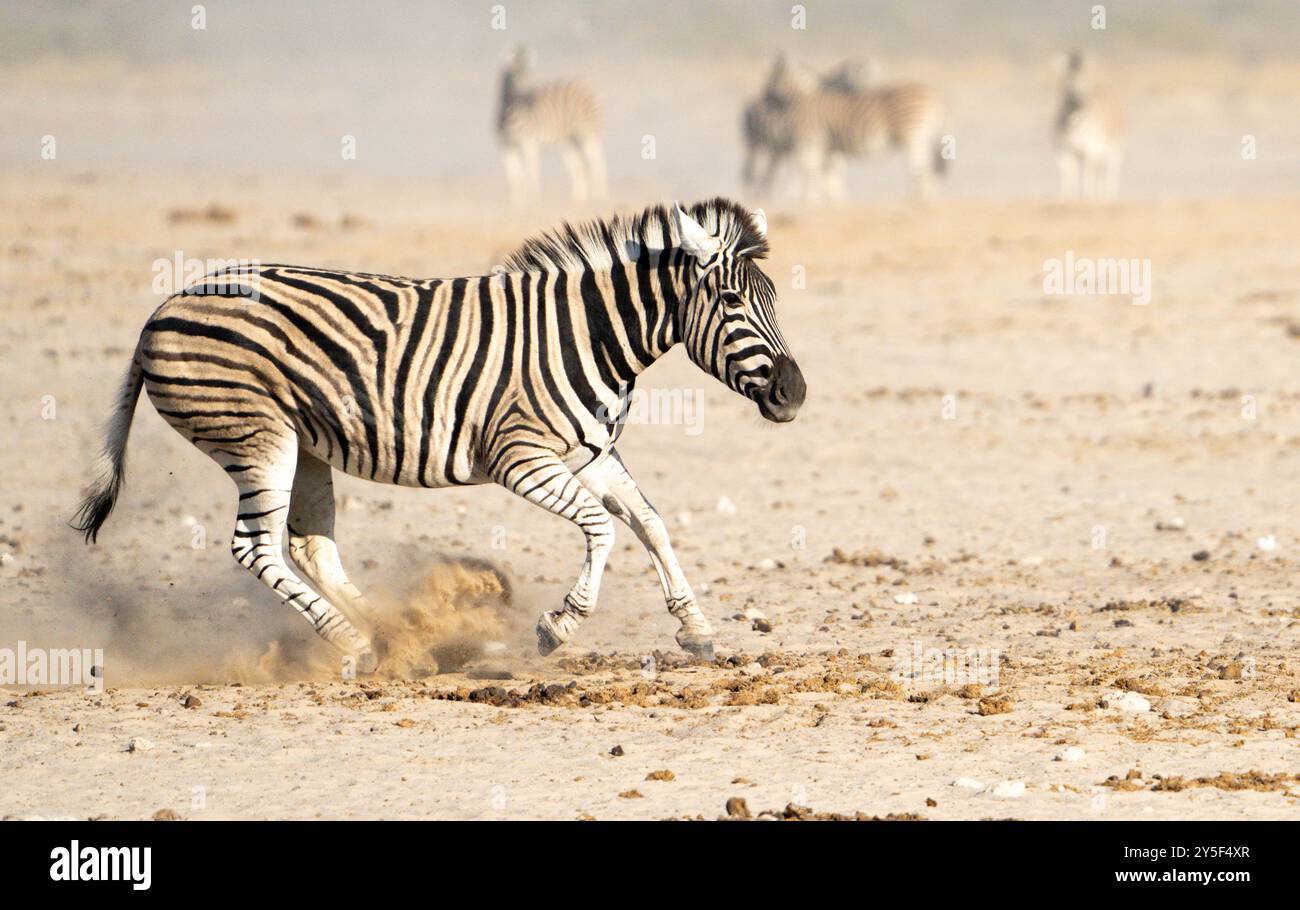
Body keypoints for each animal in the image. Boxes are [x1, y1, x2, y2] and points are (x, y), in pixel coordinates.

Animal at [72, 199, 805, 674]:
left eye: (774, 300)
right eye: (734, 303)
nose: (795, 395)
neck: (591, 336)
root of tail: (161, 309)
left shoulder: (591, 451)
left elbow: (652, 524)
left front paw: (697, 630)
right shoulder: (520, 456)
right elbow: (603, 529)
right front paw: (558, 626)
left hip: (303, 444)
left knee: (310, 548)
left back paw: (395, 632)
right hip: (259, 438)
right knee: (254, 547)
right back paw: (356, 643)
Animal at [497, 46, 606, 206]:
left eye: (529, 74)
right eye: (513, 75)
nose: (530, 100)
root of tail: (581, 82)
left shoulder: (529, 142)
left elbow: (531, 172)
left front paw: (532, 200)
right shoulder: (506, 144)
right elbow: (515, 176)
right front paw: (516, 204)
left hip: (588, 130)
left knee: (596, 160)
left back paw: (600, 196)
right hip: (568, 140)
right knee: (579, 165)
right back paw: (578, 199)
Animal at [764, 58, 950, 202]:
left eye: (771, 78)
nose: (765, 99)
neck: (801, 99)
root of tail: (935, 95)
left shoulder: (811, 139)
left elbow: (809, 170)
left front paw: (810, 200)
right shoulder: (827, 145)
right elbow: (828, 172)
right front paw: (834, 201)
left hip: (913, 134)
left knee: (920, 166)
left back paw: (916, 198)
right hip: (921, 136)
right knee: (925, 166)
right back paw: (926, 198)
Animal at [1053, 51, 1125, 201]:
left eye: (1086, 77)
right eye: (1069, 75)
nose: (1080, 99)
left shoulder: (1089, 150)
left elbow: (1086, 175)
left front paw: (1086, 198)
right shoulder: (1062, 149)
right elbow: (1067, 174)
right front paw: (1066, 198)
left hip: (1115, 151)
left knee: (1109, 175)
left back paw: (1106, 198)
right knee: (1098, 173)